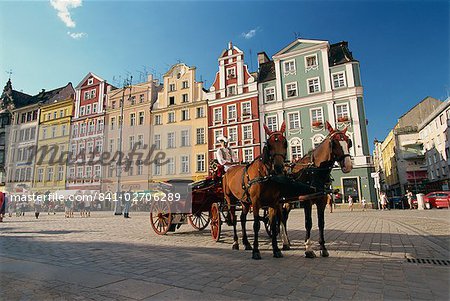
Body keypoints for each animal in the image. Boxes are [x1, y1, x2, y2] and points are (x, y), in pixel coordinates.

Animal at [222, 122, 288, 258]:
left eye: (285, 143)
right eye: (269, 145)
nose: (279, 167)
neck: (265, 175)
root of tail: (228, 170)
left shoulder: (273, 203)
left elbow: (273, 225)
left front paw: (276, 249)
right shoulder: (256, 202)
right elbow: (256, 225)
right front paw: (256, 251)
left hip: (245, 202)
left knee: (242, 218)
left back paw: (246, 243)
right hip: (230, 200)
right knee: (234, 219)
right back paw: (236, 243)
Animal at [282, 120, 352, 256]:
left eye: (348, 142)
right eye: (333, 143)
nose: (348, 165)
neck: (314, 170)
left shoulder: (322, 200)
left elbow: (321, 223)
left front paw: (323, 248)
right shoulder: (307, 201)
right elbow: (308, 223)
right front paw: (308, 248)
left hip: (288, 202)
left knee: (283, 218)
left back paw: (286, 242)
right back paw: (284, 242)